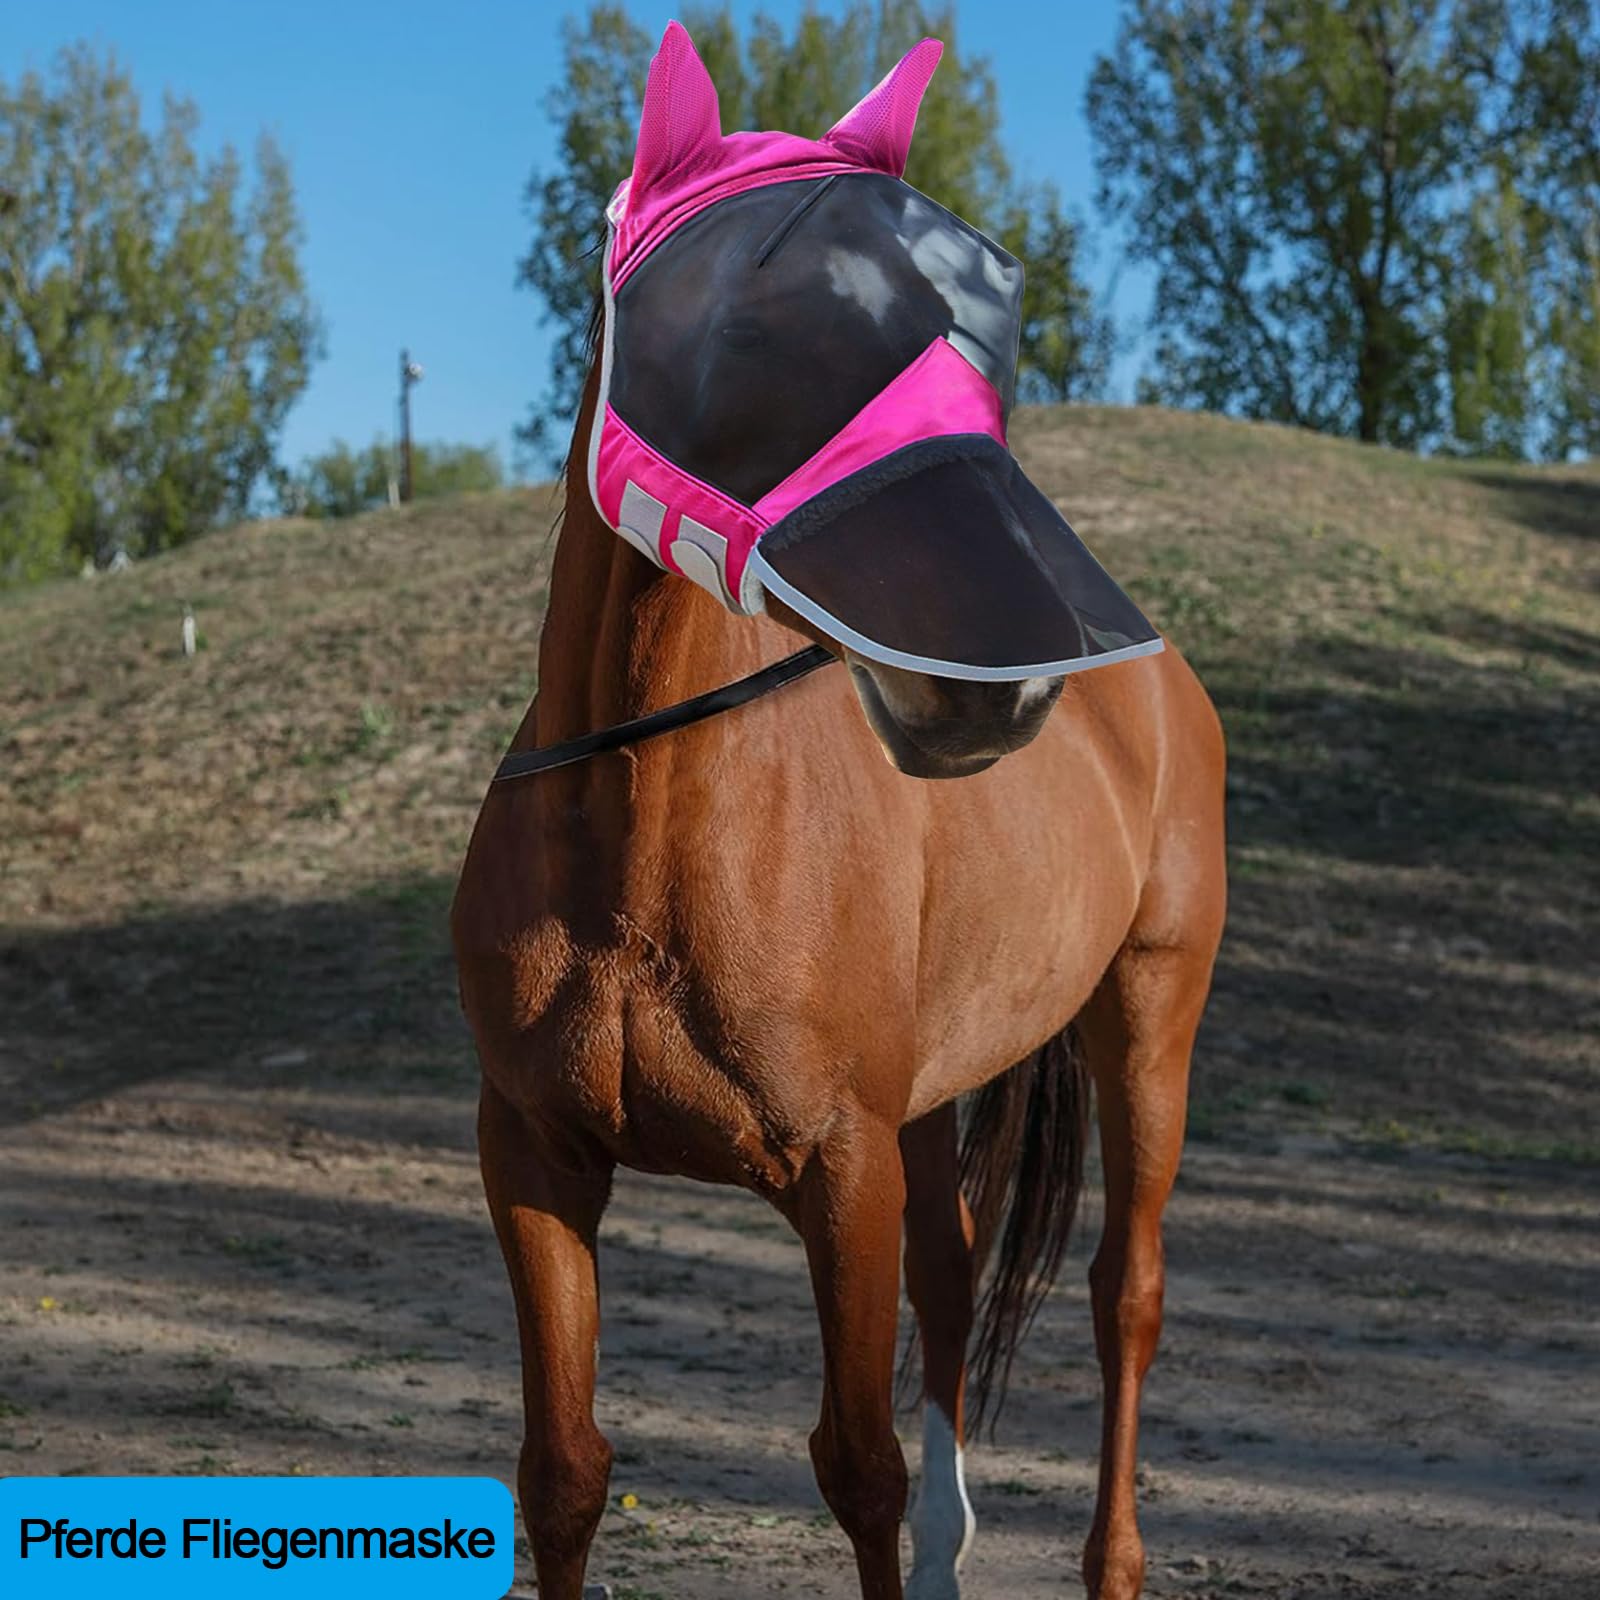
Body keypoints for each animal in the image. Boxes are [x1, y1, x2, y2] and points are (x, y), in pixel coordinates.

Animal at [452, 25, 1226, 1600]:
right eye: (759, 321)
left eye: (997, 300)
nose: (995, 685)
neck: (643, 845)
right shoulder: (537, 1155)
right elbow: (564, 1472)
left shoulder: (841, 1166)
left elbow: (856, 1466)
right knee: (958, 1263)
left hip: (1146, 1014)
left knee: (1125, 1293)